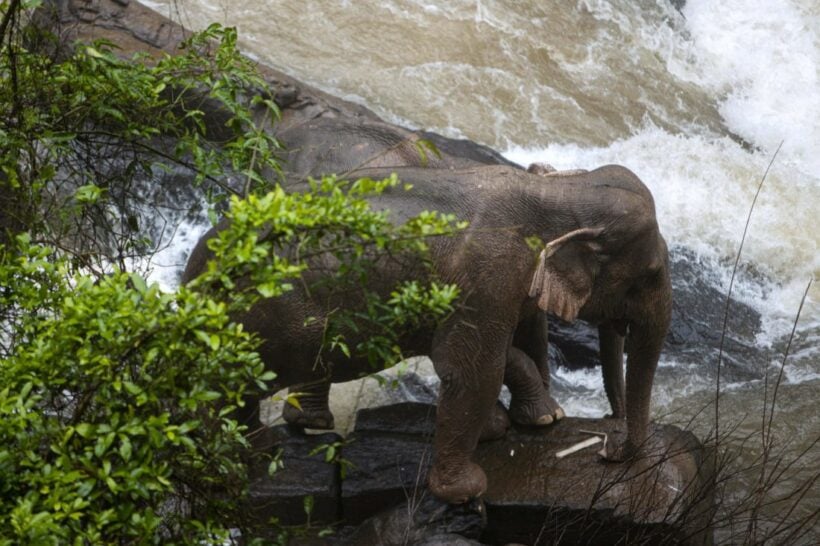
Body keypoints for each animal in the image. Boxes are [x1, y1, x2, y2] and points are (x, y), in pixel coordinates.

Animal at [183, 162, 668, 502]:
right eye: (650, 274)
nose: (607, 447)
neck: (560, 191)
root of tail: (195, 269)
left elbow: (509, 346)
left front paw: (525, 422)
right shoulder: (488, 276)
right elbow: (471, 369)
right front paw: (468, 490)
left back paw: (282, 437)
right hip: (272, 316)